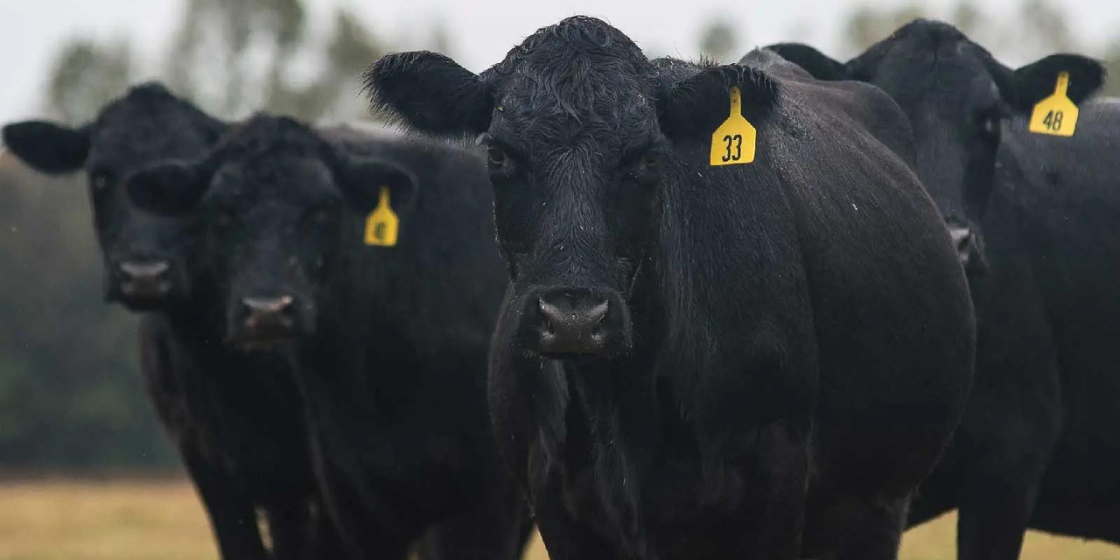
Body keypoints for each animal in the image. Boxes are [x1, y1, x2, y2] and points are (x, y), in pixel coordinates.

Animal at [364, 16, 975, 560]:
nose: (573, 318)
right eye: (497, 154)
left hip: (874, 504)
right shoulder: (557, 502)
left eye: (647, 156)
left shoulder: (773, 487)